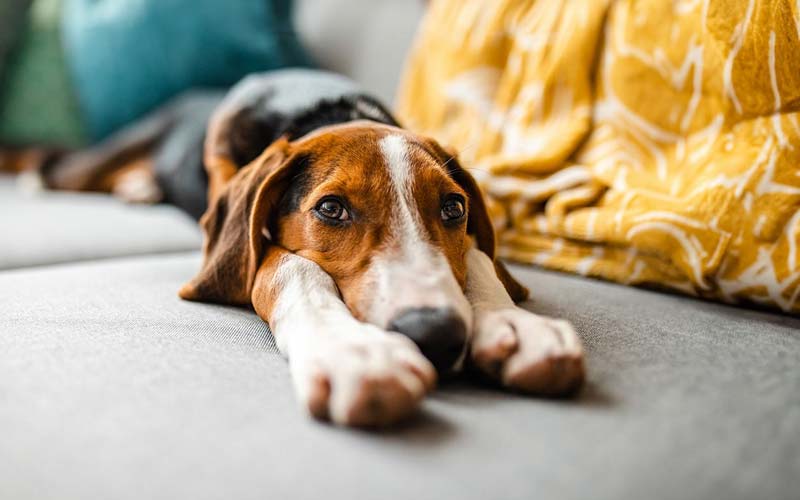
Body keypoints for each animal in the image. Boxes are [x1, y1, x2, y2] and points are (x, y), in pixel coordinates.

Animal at [31, 67, 584, 426]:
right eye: (331, 209)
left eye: (453, 208)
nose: (435, 333)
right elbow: (290, 268)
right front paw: (353, 351)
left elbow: (478, 256)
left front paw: (514, 322)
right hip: (110, 151)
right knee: (52, 167)